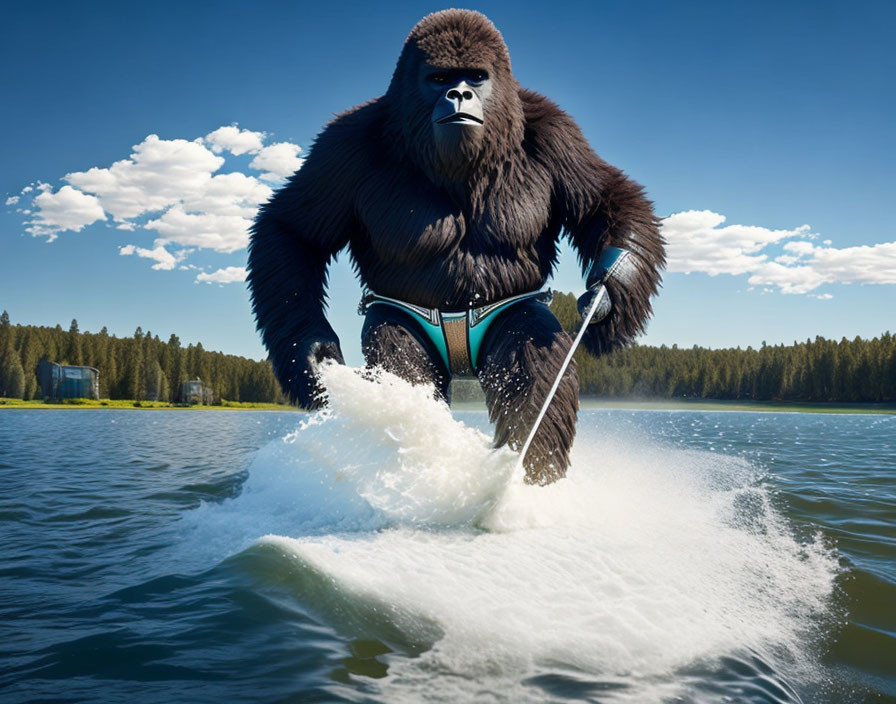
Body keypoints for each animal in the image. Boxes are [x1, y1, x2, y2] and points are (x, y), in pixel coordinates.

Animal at [248, 9, 660, 484]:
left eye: (476, 77)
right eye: (440, 77)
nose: (459, 93)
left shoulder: (557, 134)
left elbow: (604, 201)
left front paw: (610, 289)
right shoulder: (343, 146)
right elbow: (292, 231)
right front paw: (312, 353)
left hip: (511, 313)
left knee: (534, 362)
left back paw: (529, 474)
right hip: (402, 318)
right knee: (401, 364)